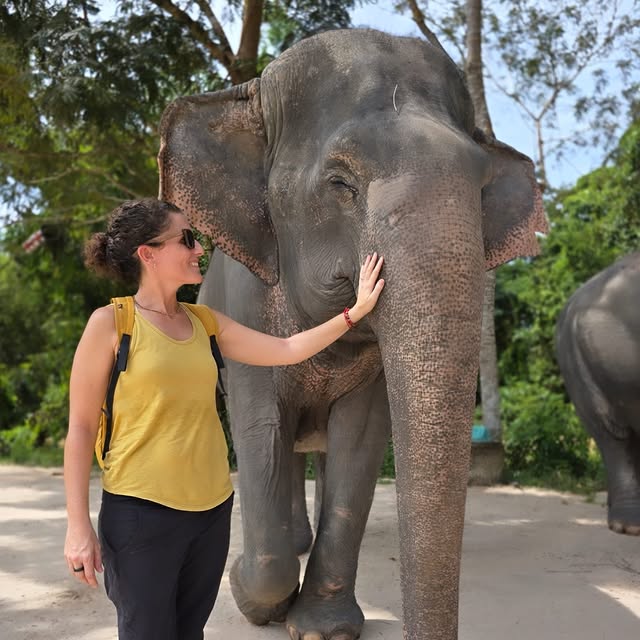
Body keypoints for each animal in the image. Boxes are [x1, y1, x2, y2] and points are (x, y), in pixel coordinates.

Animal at [158, 29, 546, 640]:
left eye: (483, 187)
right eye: (341, 183)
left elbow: (360, 442)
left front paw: (324, 628)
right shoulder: (245, 306)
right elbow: (262, 428)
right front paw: (247, 588)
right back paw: (292, 545)